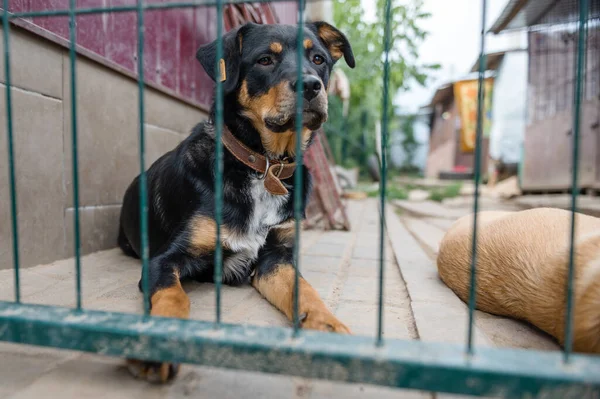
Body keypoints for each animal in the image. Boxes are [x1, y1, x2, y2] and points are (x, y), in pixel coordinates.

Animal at [118, 21, 356, 384]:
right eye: (265, 60)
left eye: (318, 59)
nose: (311, 86)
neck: (262, 166)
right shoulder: (164, 260)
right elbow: (173, 296)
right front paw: (159, 344)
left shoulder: (276, 258)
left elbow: (305, 290)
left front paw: (328, 326)